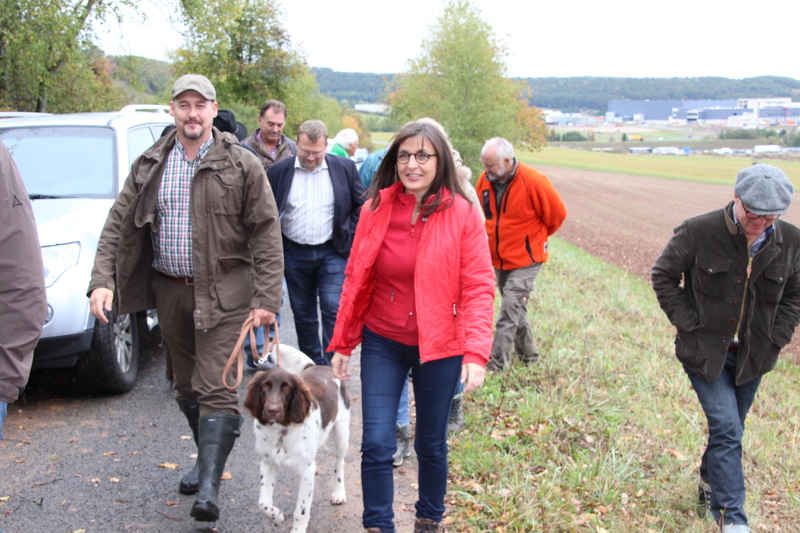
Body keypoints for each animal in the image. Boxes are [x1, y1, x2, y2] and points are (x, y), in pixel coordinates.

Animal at [244, 362, 350, 532]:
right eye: (265, 386)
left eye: (287, 388)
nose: (272, 410)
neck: (282, 430)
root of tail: (321, 365)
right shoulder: (267, 463)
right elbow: (263, 503)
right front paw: (278, 517)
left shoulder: (307, 470)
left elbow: (301, 511)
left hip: (342, 433)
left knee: (339, 463)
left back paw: (338, 493)